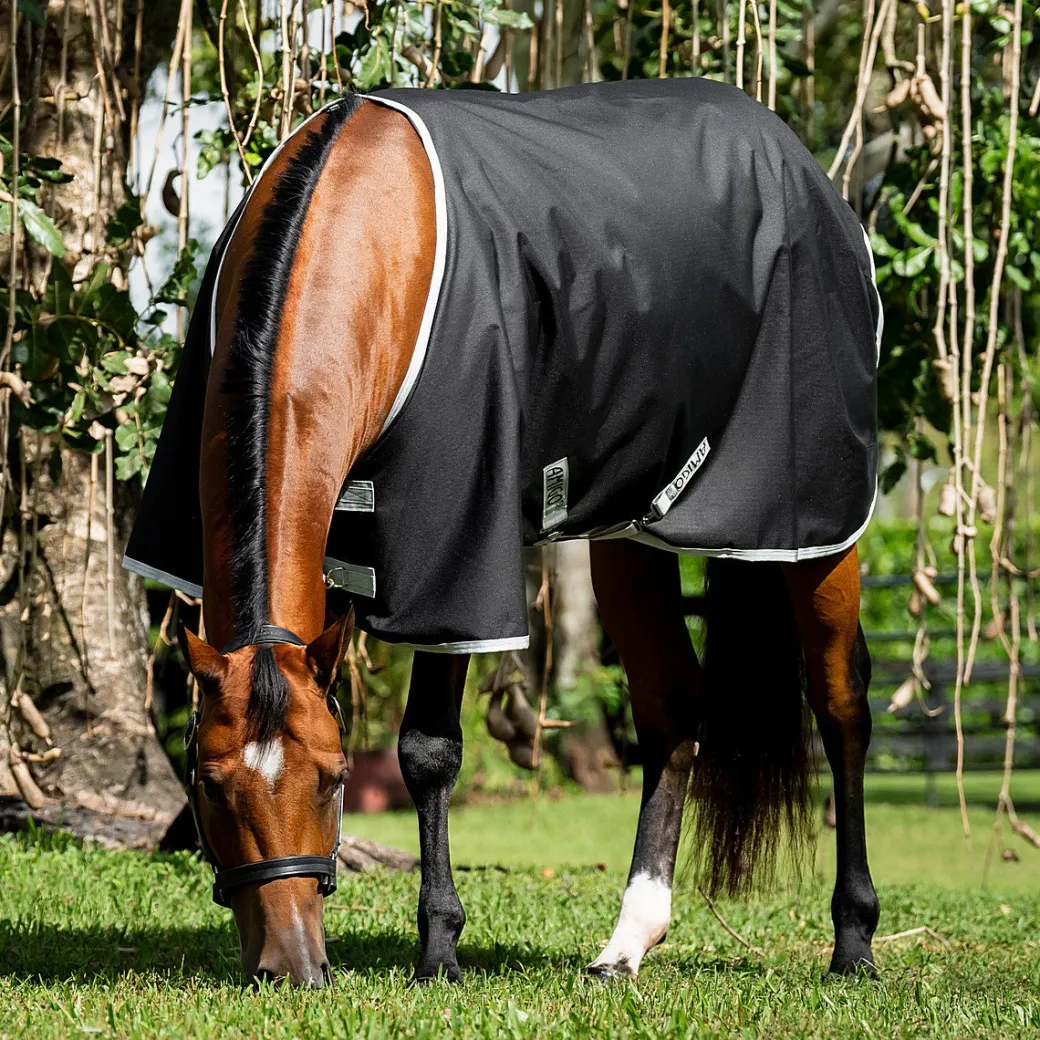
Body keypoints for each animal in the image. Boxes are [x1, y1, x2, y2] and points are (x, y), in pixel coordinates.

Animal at [127, 78, 881, 987]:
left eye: (334, 779)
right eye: (207, 783)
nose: (293, 967)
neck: (368, 232)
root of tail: (800, 163)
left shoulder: (453, 549)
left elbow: (429, 749)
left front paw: (439, 950)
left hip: (815, 522)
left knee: (840, 704)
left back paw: (853, 940)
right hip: (629, 531)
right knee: (672, 707)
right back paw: (627, 942)